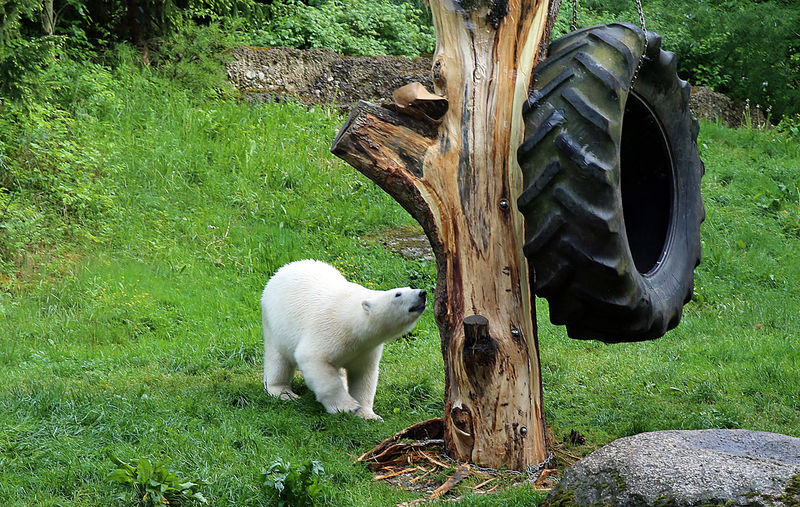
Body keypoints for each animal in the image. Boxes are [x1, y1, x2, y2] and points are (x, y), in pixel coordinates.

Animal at [260, 260, 424, 422]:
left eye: (409, 287)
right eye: (398, 294)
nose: (422, 293)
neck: (350, 321)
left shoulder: (366, 349)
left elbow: (363, 375)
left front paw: (368, 415)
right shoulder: (327, 330)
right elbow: (314, 360)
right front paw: (347, 407)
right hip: (274, 325)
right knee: (278, 360)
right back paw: (284, 392)